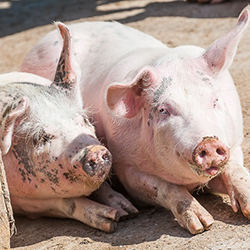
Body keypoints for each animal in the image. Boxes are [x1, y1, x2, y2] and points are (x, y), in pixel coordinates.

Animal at [1, 22, 139, 233]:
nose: (94, 150)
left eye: (84, 119)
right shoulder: (23, 201)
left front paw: (129, 211)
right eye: (41, 138)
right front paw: (112, 220)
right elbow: (68, 202)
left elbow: (103, 187)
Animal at [20, 7, 250, 234]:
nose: (208, 142)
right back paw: (124, 212)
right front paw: (202, 225)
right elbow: (165, 187)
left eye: (215, 101)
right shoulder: (126, 167)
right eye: (164, 110)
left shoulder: (235, 144)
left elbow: (235, 170)